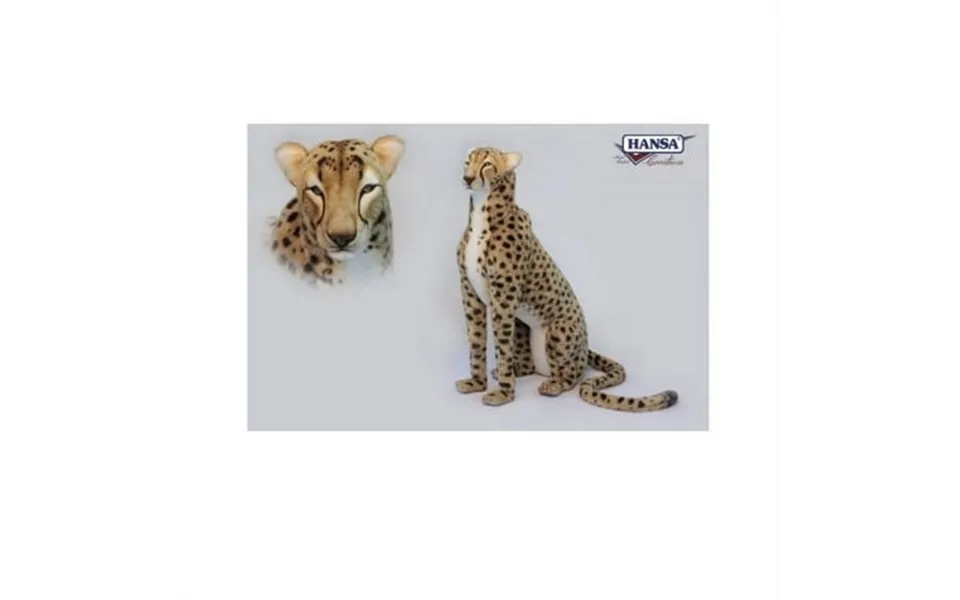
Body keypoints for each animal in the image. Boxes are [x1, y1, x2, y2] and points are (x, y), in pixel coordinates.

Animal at [454, 146, 679, 412]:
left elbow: (502, 347)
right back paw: (514, 371)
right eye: (467, 162)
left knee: (573, 376)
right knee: (530, 366)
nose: (467, 178)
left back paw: (554, 385)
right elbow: (476, 342)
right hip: (522, 323)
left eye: (487, 164)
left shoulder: (503, 301)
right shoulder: (470, 294)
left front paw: (503, 394)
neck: (482, 212)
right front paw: (477, 383)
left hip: (558, 329)